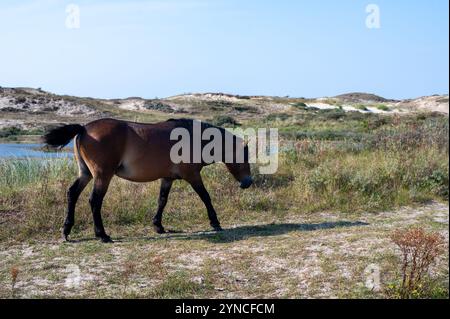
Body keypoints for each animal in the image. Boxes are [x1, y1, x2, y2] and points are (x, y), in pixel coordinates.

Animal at [43, 119, 253, 244]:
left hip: (86, 174)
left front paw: (158, 226)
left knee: (72, 193)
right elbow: (206, 197)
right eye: (244, 156)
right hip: (102, 176)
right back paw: (102, 235)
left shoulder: (167, 178)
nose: (248, 182)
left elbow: (162, 201)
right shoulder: (193, 176)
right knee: (94, 201)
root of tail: (84, 128)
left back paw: (66, 230)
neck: (193, 138)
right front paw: (215, 222)